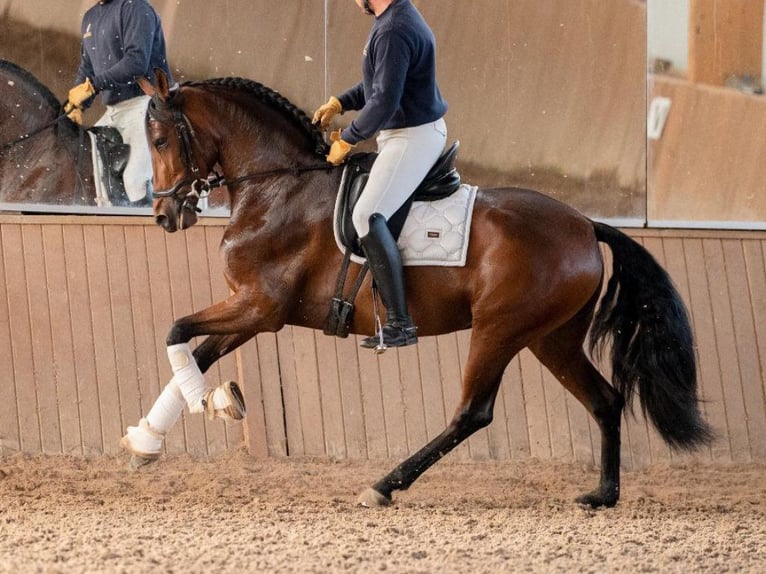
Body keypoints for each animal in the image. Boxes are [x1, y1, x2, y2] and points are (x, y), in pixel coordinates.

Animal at [136, 70, 712, 510]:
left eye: (160, 141)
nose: (165, 215)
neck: (278, 185)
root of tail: (585, 225)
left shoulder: (260, 307)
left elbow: (176, 331)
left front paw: (207, 403)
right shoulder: (250, 310)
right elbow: (196, 351)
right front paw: (150, 436)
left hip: (500, 330)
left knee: (473, 412)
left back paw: (383, 486)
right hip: (551, 338)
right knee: (605, 399)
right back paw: (603, 494)